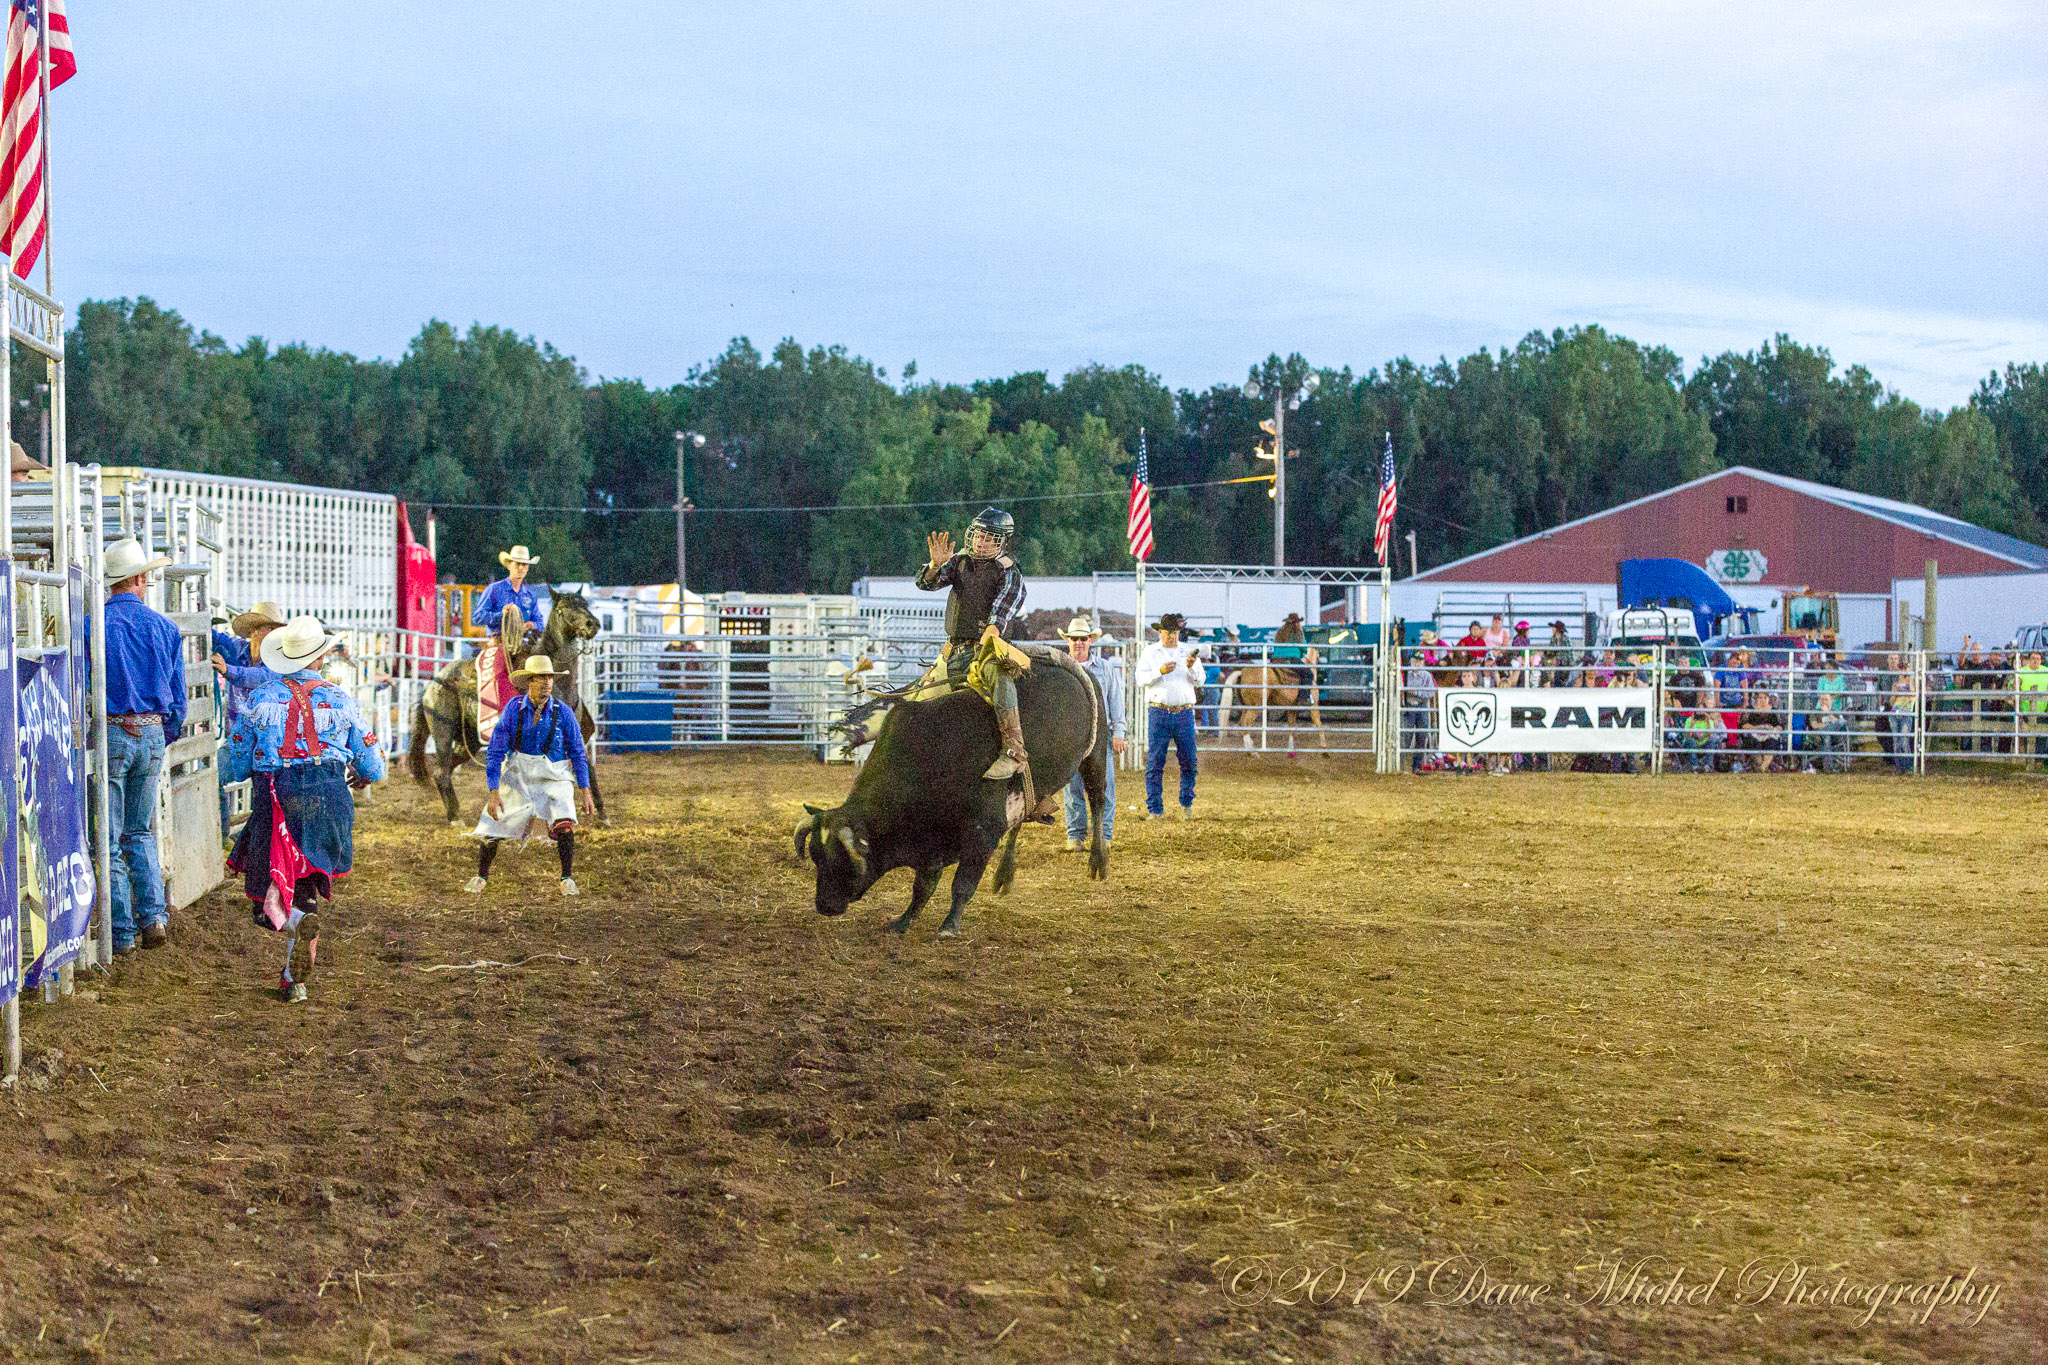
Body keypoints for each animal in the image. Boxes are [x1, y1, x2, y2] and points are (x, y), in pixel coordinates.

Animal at [407, 587, 607, 825]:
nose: (592, 624)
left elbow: (588, 769)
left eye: (584, 603)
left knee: (446, 769)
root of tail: (434, 682)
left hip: (469, 741)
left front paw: (602, 814)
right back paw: (455, 817)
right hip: (443, 733)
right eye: (564, 607)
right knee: (442, 771)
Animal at [794, 645, 1110, 936]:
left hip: (1095, 754)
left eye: (843, 860)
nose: (824, 905)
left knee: (1097, 799)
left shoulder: (983, 831)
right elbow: (923, 886)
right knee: (1021, 821)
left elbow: (962, 884)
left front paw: (948, 925)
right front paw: (903, 921)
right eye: (816, 855)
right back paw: (1004, 875)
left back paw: (1098, 861)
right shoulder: (931, 841)